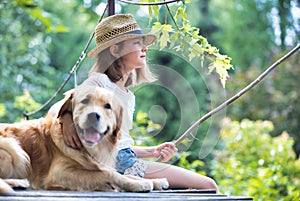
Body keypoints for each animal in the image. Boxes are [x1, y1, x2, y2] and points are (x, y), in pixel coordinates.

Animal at [0, 83, 169, 193]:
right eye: (85, 101)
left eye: (107, 106)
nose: (93, 115)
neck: (88, 149)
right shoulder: (59, 173)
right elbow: (108, 174)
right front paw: (138, 185)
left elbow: (120, 173)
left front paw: (154, 181)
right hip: (13, 148)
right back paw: (18, 182)